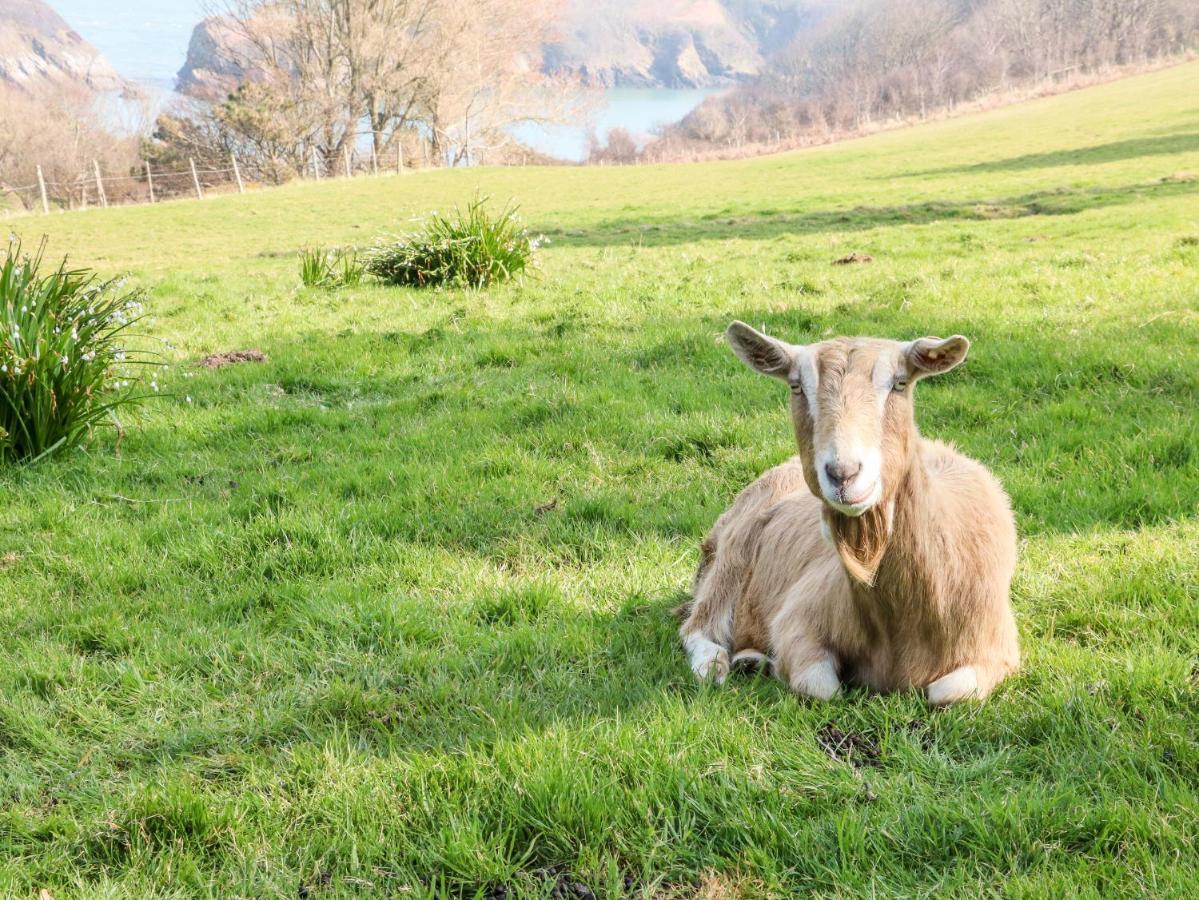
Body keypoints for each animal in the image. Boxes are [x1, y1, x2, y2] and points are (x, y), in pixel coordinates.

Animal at [685, 321, 1021, 709]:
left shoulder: (997, 648)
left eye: (900, 383)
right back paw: (721, 664)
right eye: (797, 386)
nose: (843, 473)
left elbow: (948, 691)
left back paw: (751, 659)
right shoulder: (798, 619)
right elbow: (822, 686)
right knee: (698, 627)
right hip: (731, 556)